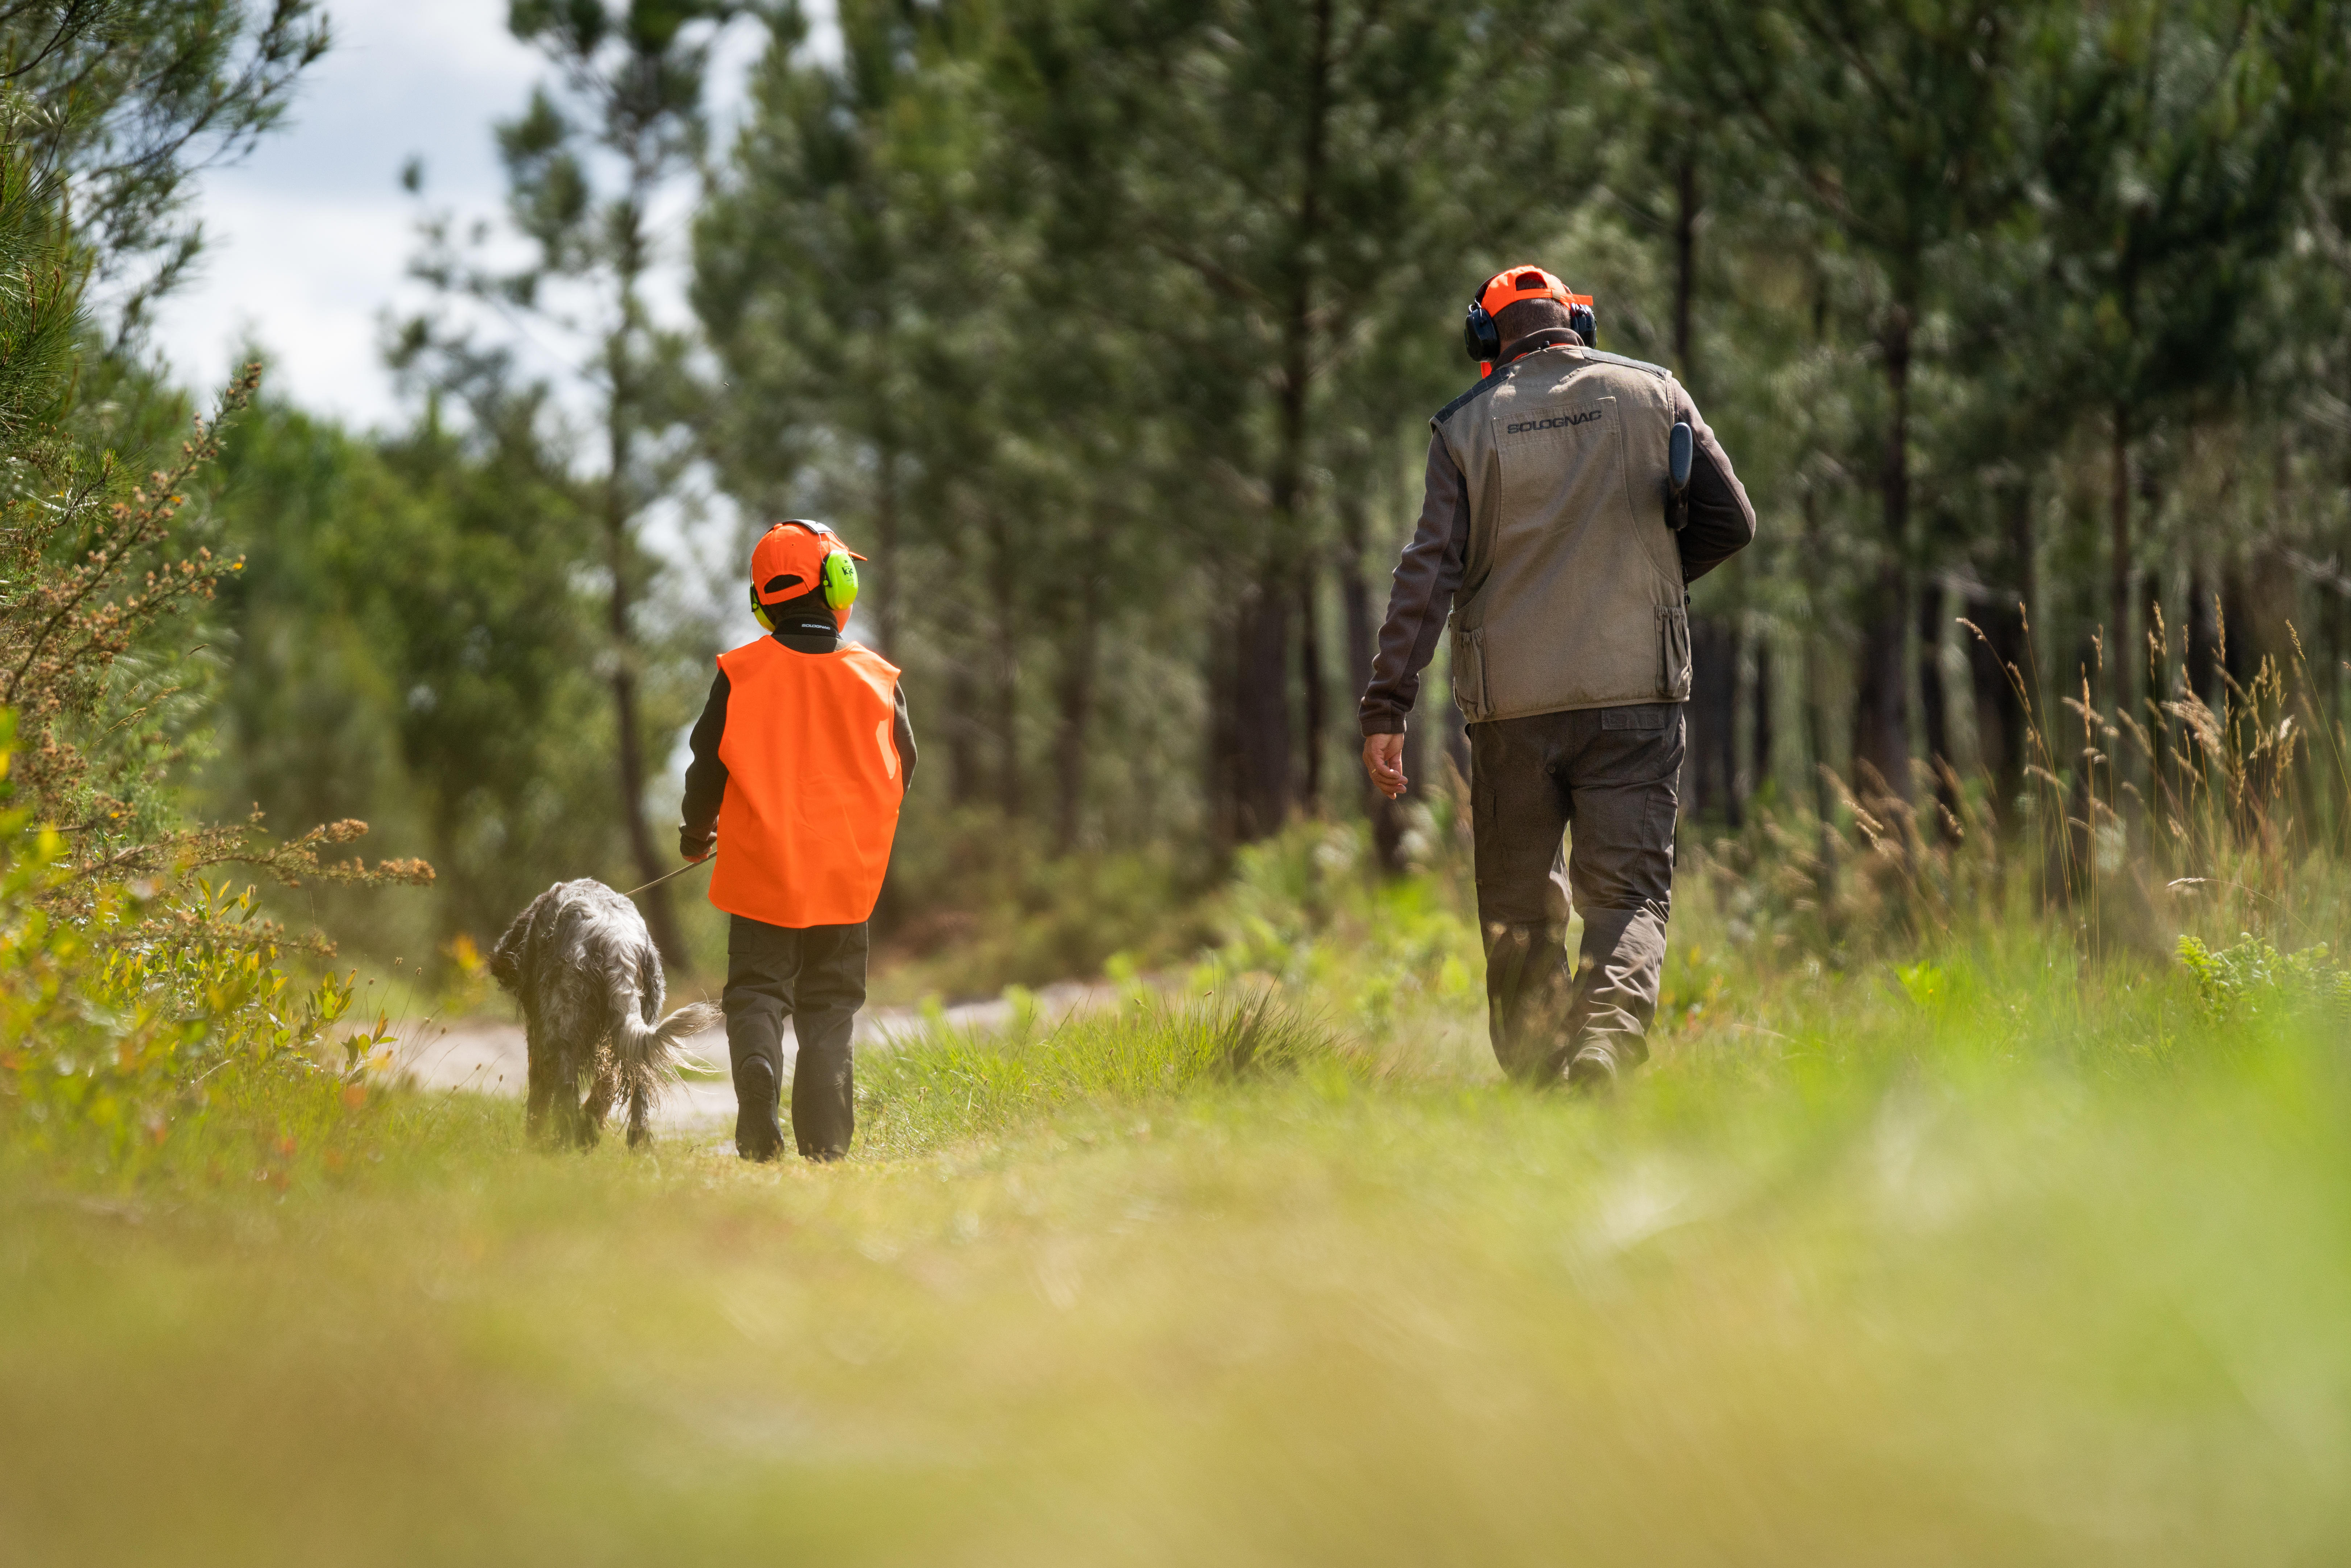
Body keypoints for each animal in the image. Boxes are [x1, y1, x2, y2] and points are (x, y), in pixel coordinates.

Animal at [491, 879, 719, 1147]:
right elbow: (607, 1084)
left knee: (566, 1094)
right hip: (639, 1030)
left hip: (561, 1036)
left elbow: (539, 1097)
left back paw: (563, 1144)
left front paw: (534, 1139)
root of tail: (618, 945)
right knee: (637, 1094)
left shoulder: (540, 1036)